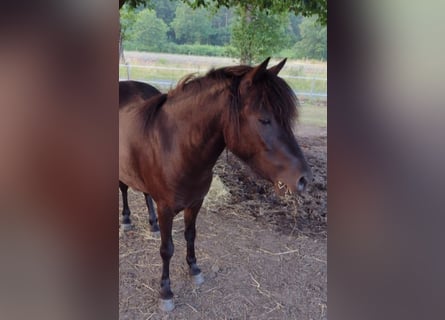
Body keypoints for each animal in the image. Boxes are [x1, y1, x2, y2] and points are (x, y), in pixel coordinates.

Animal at [119, 57, 310, 310]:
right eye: (264, 120)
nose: (303, 179)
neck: (175, 147)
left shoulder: (195, 203)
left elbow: (191, 235)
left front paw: (194, 269)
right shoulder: (166, 209)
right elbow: (167, 249)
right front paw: (166, 292)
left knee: (144, 193)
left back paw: (151, 224)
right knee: (123, 188)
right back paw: (126, 220)